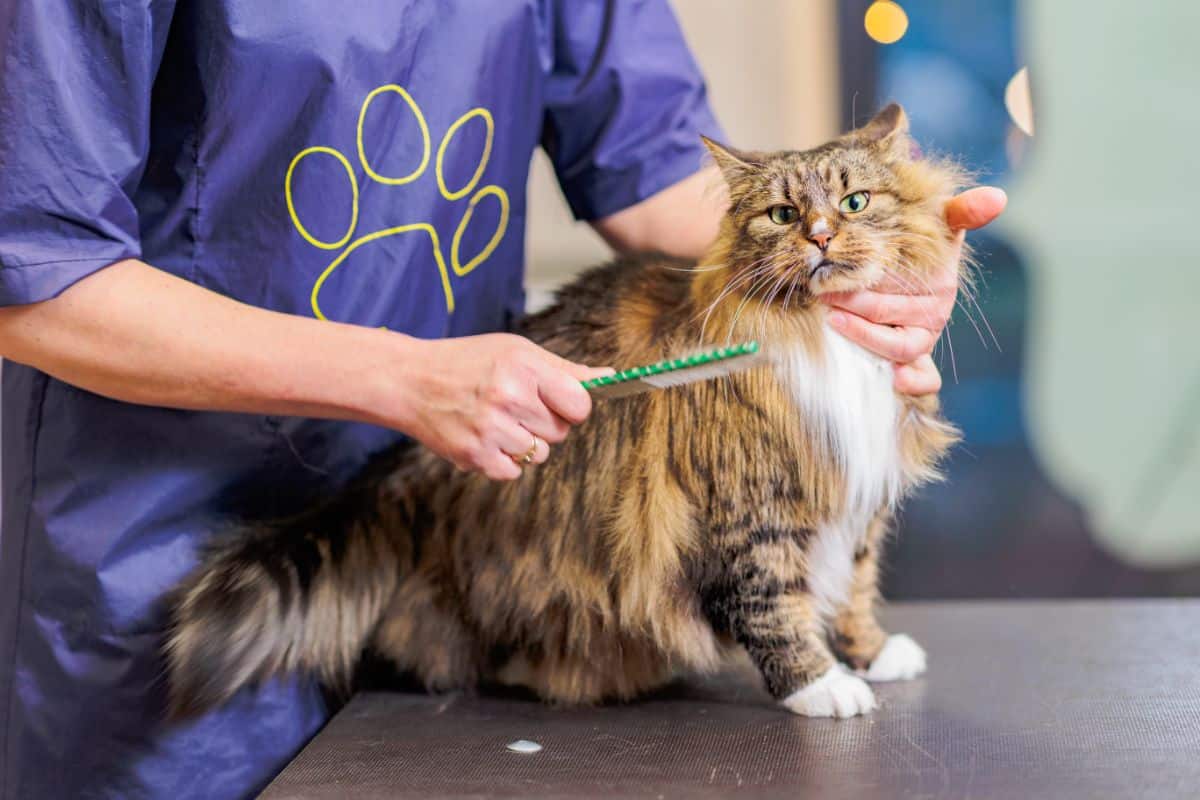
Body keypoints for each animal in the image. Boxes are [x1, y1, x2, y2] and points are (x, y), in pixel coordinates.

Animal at [164, 103, 964, 724]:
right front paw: (822, 686)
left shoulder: (859, 494)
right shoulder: (752, 506)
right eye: (783, 215)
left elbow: (855, 586)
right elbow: (776, 607)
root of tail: (406, 470)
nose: (820, 236)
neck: (825, 335)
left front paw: (871, 653)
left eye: (854, 202)